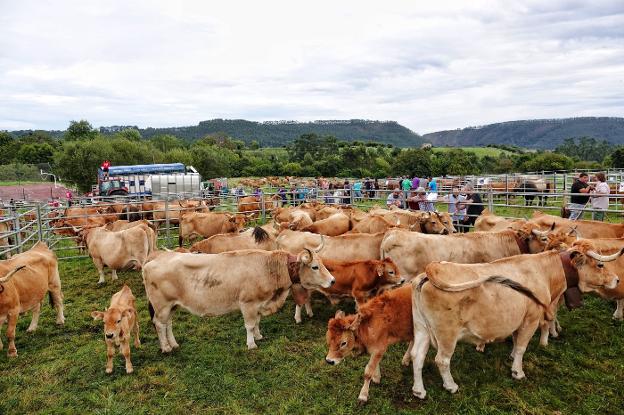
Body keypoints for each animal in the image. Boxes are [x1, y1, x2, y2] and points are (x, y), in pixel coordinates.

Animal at [143, 247, 336, 352]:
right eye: (315, 266)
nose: (333, 280)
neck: (267, 268)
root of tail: (155, 258)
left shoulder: (259, 303)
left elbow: (257, 322)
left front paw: (259, 336)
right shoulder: (248, 304)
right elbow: (249, 325)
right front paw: (251, 344)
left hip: (171, 306)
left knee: (168, 324)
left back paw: (173, 343)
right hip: (161, 306)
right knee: (159, 325)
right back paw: (166, 347)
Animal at [412, 244, 620, 400]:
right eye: (600, 265)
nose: (617, 279)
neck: (544, 272)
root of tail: (430, 271)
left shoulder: (517, 318)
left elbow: (515, 339)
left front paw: (511, 357)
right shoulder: (531, 319)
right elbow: (521, 347)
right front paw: (517, 372)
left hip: (422, 330)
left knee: (417, 356)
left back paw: (419, 390)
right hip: (447, 335)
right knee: (442, 360)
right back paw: (451, 386)